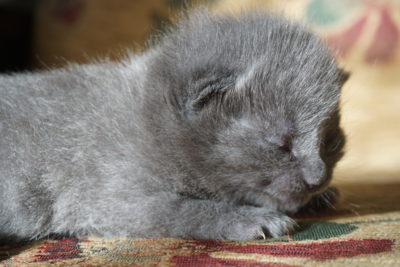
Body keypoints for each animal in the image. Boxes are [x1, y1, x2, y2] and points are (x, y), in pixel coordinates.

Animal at [0, 9, 346, 243]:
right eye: (281, 144)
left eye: (330, 141)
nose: (317, 178)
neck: (153, 124)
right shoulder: (112, 198)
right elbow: (184, 209)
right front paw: (254, 219)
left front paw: (321, 197)